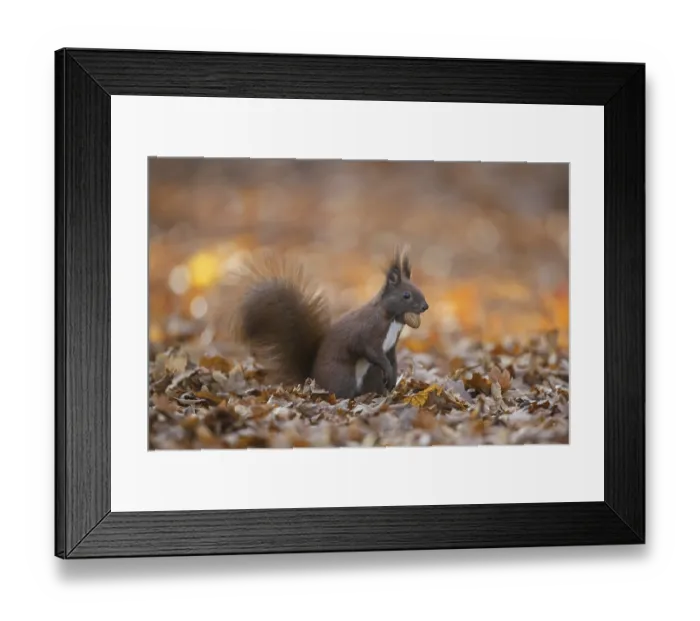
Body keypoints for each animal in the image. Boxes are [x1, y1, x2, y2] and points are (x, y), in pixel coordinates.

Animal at [227, 247, 429, 398]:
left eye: (419, 289)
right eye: (406, 295)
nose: (425, 306)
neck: (392, 320)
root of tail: (313, 380)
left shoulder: (390, 346)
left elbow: (392, 360)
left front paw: (393, 378)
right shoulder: (368, 334)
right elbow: (371, 352)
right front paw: (388, 372)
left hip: (369, 375)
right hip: (342, 375)